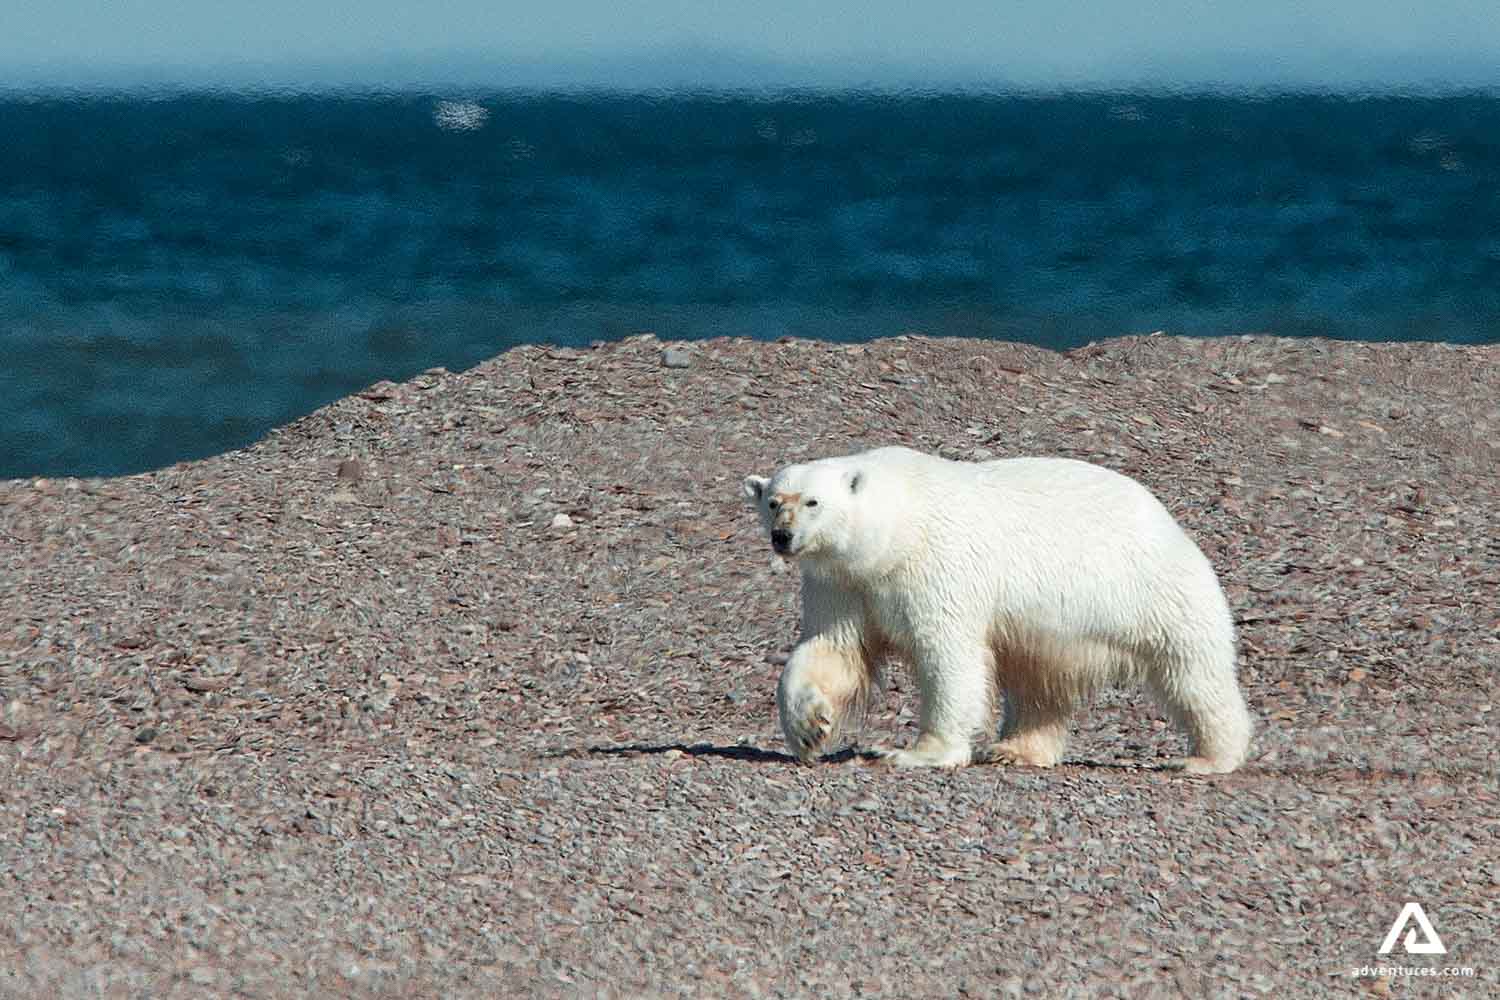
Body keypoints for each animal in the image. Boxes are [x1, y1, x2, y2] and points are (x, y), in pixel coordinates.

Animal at [742, 445, 1252, 772]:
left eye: (813, 501)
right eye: (773, 502)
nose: (783, 536)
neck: (893, 533)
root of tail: (1167, 519)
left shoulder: (937, 566)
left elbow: (948, 654)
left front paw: (917, 753)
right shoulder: (842, 583)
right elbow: (832, 648)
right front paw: (809, 727)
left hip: (1151, 592)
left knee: (1192, 674)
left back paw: (1209, 757)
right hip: (1053, 629)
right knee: (1037, 684)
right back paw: (1015, 749)